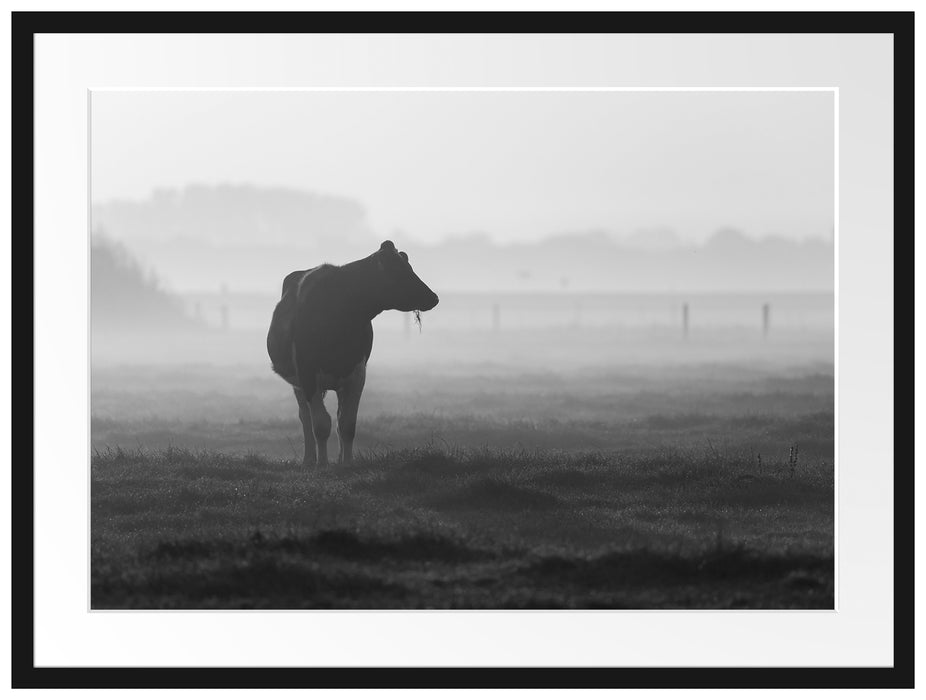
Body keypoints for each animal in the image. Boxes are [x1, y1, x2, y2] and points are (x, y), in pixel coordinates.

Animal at [268, 243, 442, 468]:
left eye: (409, 267)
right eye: (398, 270)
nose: (433, 297)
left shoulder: (357, 374)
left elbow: (347, 425)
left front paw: (347, 463)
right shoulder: (307, 374)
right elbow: (321, 425)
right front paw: (322, 464)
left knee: (337, 418)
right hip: (298, 384)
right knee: (305, 418)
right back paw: (309, 459)